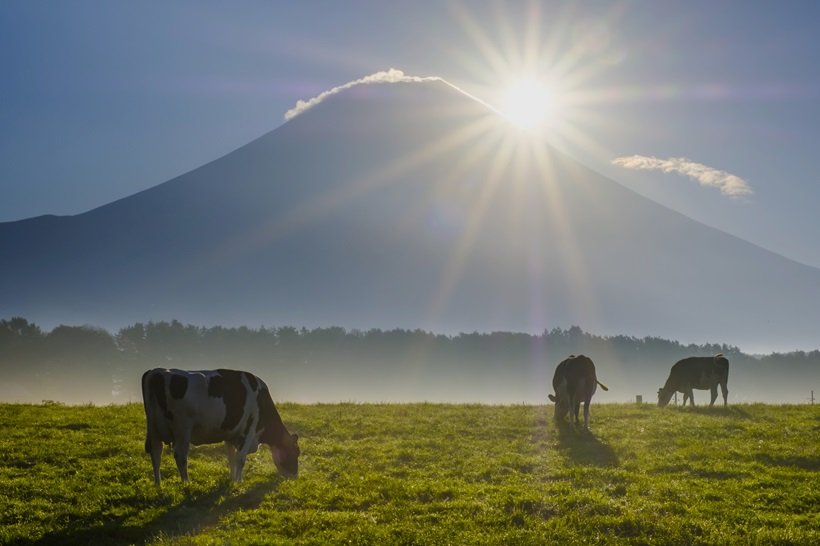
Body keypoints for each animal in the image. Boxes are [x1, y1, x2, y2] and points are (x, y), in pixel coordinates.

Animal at [143, 368, 300, 482]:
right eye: (296, 453)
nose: (295, 477)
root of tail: (156, 372)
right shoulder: (249, 430)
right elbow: (240, 458)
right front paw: (238, 482)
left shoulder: (231, 434)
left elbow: (231, 457)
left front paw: (232, 479)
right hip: (182, 428)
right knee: (180, 455)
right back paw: (186, 483)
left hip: (153, 428)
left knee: (156, 453)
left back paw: (158, 484)